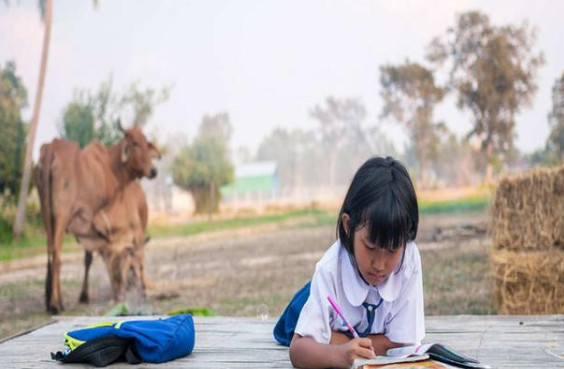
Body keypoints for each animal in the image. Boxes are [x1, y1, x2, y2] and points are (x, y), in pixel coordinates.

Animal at [34, 122, 160, 312]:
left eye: (147, 143)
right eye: (135, 143)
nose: (153, 171)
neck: (112, 166)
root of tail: (52, 148)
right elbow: (96, 256)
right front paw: (85, 295)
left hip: (46, 214)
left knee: (50, 251)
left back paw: (52, 301)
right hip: (61, 215)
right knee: (56, 252)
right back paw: (56, 303)